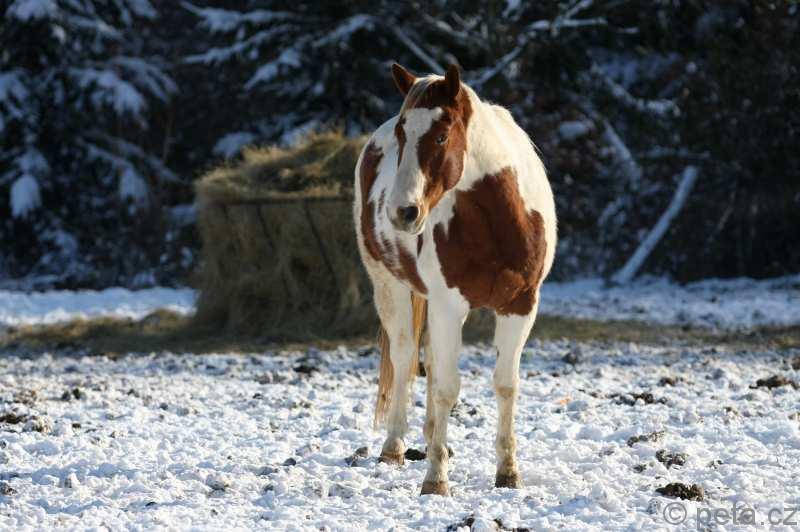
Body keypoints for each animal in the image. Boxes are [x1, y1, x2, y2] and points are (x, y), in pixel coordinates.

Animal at [353, 63, 557, 496]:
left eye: (442, 134)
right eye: (402, 134)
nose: (402, 213)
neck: (497, 222)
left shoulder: (521, 306)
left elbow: (505, 384)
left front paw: (508, 472)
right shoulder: (449, 306)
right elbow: (447, 387)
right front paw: (435, 480)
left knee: (427, 360)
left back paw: (434, 439)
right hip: (389, 286)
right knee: (405, 357)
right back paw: (394, 447)